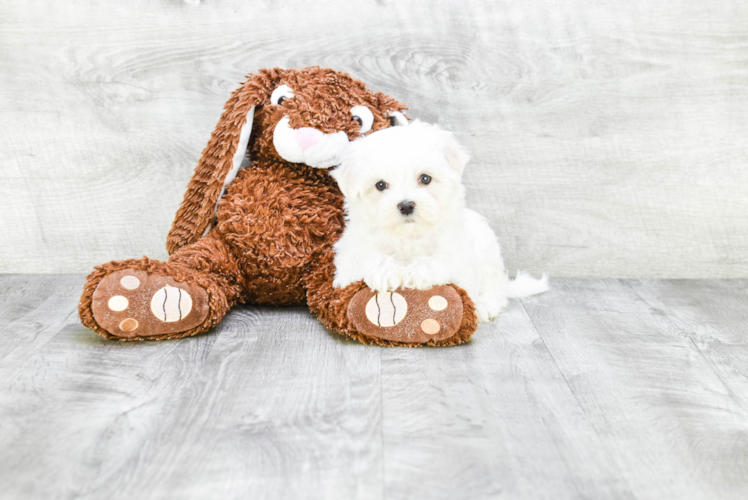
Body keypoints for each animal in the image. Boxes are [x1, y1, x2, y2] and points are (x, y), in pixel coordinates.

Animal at [334, 122, 548, 324]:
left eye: (425, 178)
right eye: (380, 185)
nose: (406, 205)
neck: (408, 236)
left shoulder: (457, 254)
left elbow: (440, 260)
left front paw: (416, 272)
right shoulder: (348, 259)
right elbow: (367, 256)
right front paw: (386, 272)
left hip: (488, 252)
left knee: (495, 288)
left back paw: (484, 306)